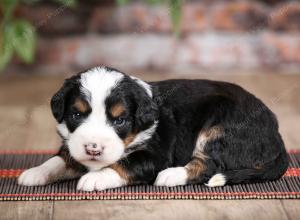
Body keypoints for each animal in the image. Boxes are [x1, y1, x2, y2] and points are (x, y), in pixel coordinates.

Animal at [17, 65, 290, 191]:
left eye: (119, 120)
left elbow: (126, 163)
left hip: (219, 128)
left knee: (210, 165)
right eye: (76, 114)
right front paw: (35, 172)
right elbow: (59, 159)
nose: (93, 148)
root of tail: (277, 135)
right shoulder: (72, 146)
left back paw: (171, 175)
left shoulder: (156, 154)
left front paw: (95, 177)